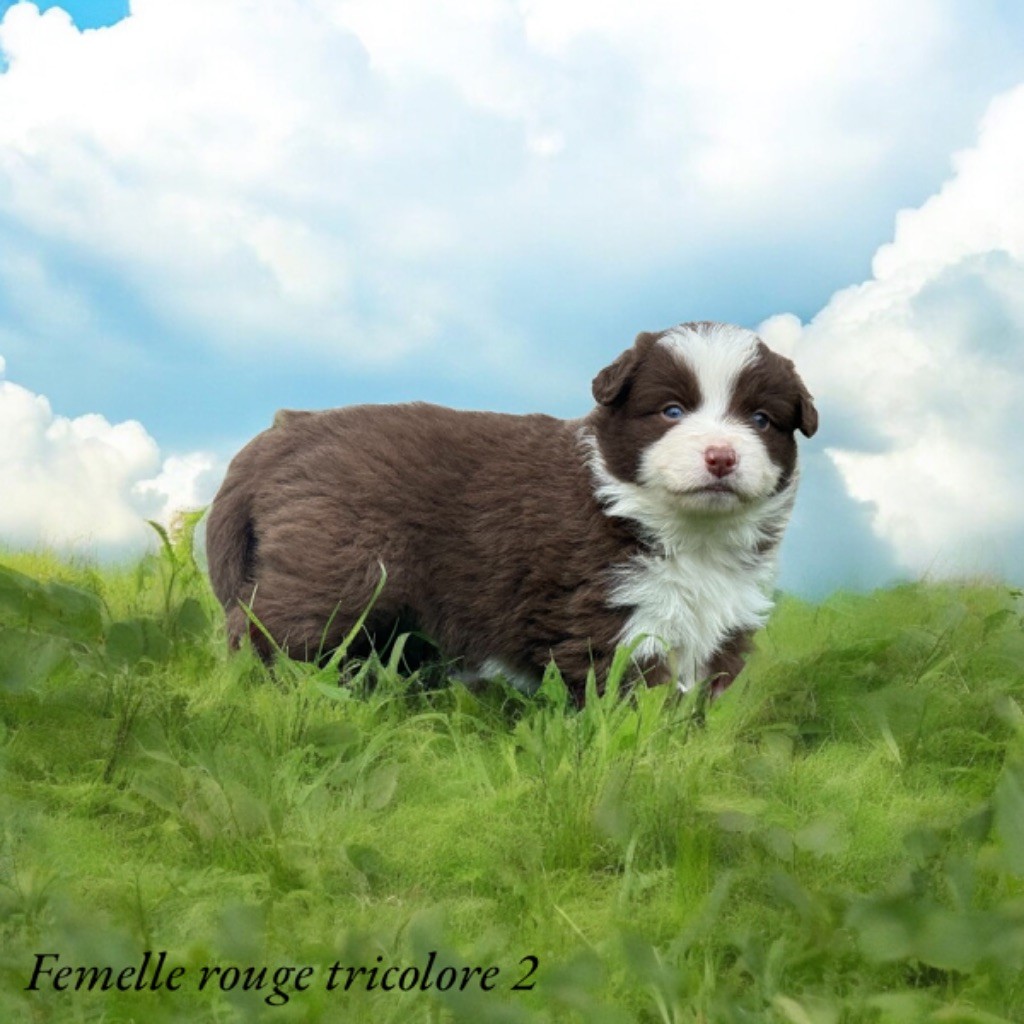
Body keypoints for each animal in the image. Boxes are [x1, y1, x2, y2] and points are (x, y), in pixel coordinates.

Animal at [205, 321, 815, 704]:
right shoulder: (612, 610)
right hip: (338, 570)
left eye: (761, 419)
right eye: (671, 411)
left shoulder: (722, 621)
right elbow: (636, 698)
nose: (721, 456)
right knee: (271, 632)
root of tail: (284, 434)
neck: (690, 535)